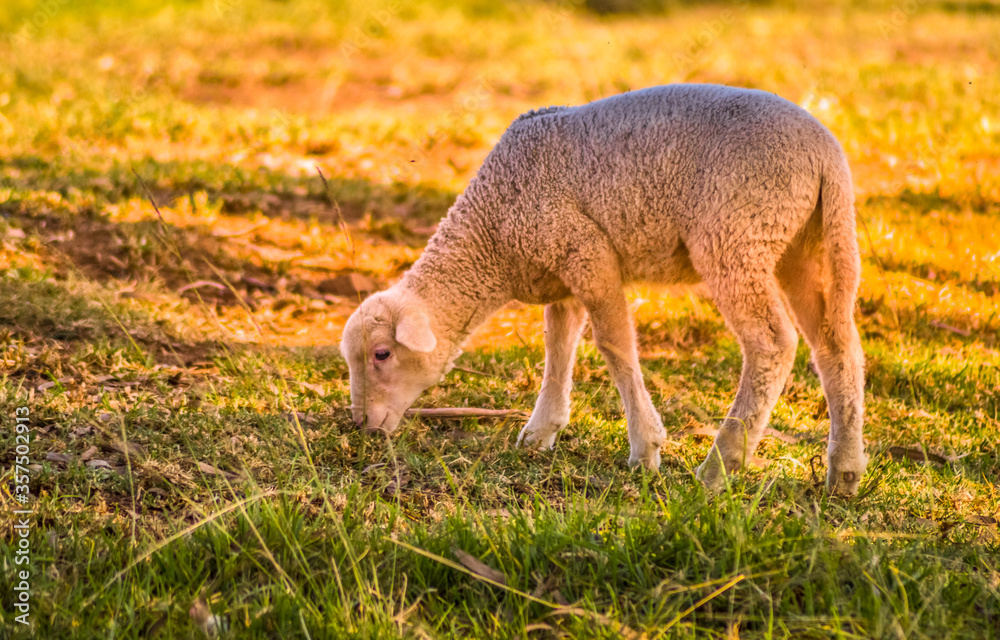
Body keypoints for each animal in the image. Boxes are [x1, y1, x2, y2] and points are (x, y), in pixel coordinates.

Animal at [340, 83, 868, 495]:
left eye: (382, 354)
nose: (362, 425)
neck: (494, 232)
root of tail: (826, 155)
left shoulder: (587, 251)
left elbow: (614, 345)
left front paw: (645, 449)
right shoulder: (561, 272)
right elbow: (558, 345)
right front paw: (540, 433)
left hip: (738, 232)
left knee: (773, 344)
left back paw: (720, 467)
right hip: (808, 242)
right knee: (836, 345)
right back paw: (844, 471)